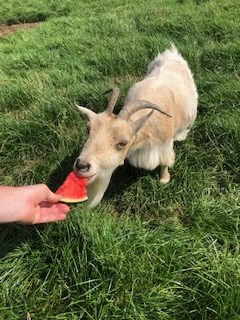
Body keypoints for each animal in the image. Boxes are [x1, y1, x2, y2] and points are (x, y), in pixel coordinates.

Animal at [74, 46, 198, 209]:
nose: (81, 165)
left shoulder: (165, 145)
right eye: (88, 129)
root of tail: (172, 53)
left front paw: (164, 180)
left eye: (122, 143)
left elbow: (165, 162)